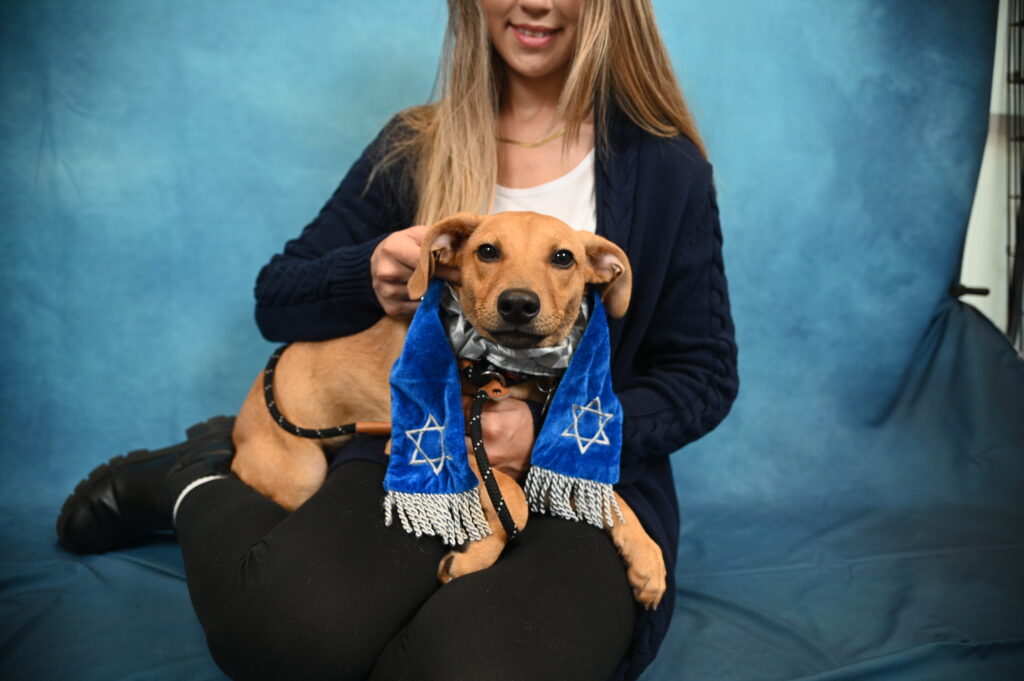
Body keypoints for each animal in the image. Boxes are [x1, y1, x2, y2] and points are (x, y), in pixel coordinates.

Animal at [229, 210, 667, 606]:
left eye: (563, 258)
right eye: (487, 251)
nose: (518, 304)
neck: (500, 368)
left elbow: (608, 495)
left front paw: (647, 559)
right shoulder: (435, 446)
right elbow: (513, 500)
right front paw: (473, 559)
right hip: (303, 472)